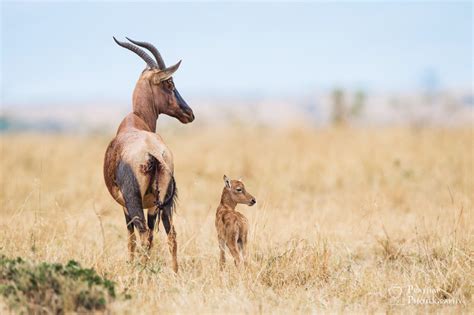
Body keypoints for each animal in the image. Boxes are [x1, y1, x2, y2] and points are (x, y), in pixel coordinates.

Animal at [104, 37, 194, 274]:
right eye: (169, 84)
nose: (189, 113)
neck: (135, 121)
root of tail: (152, 153)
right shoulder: (153, 205)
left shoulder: (125, 205)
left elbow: (131, 239)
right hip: (161, 202)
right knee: (170, 235)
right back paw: (175, 272)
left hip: (135, 200)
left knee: (144, 235)